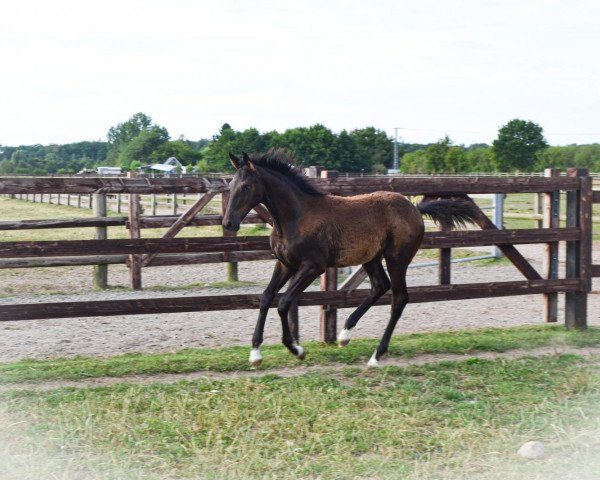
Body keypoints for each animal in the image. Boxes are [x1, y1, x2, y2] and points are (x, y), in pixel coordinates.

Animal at [220, 150, 478, 368]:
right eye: (230, 185)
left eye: (246, 186)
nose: (228, 223)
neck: (296, 217)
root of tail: (415, 209)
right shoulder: (285, 264)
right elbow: (265, 297)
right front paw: (255, 354)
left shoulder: (313, 267)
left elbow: (283, 302)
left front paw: (296, 349)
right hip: (371, 258)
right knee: (380, 286)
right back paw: (345, 334)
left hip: (397, 259)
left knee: (399, 299)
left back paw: (375, 356)